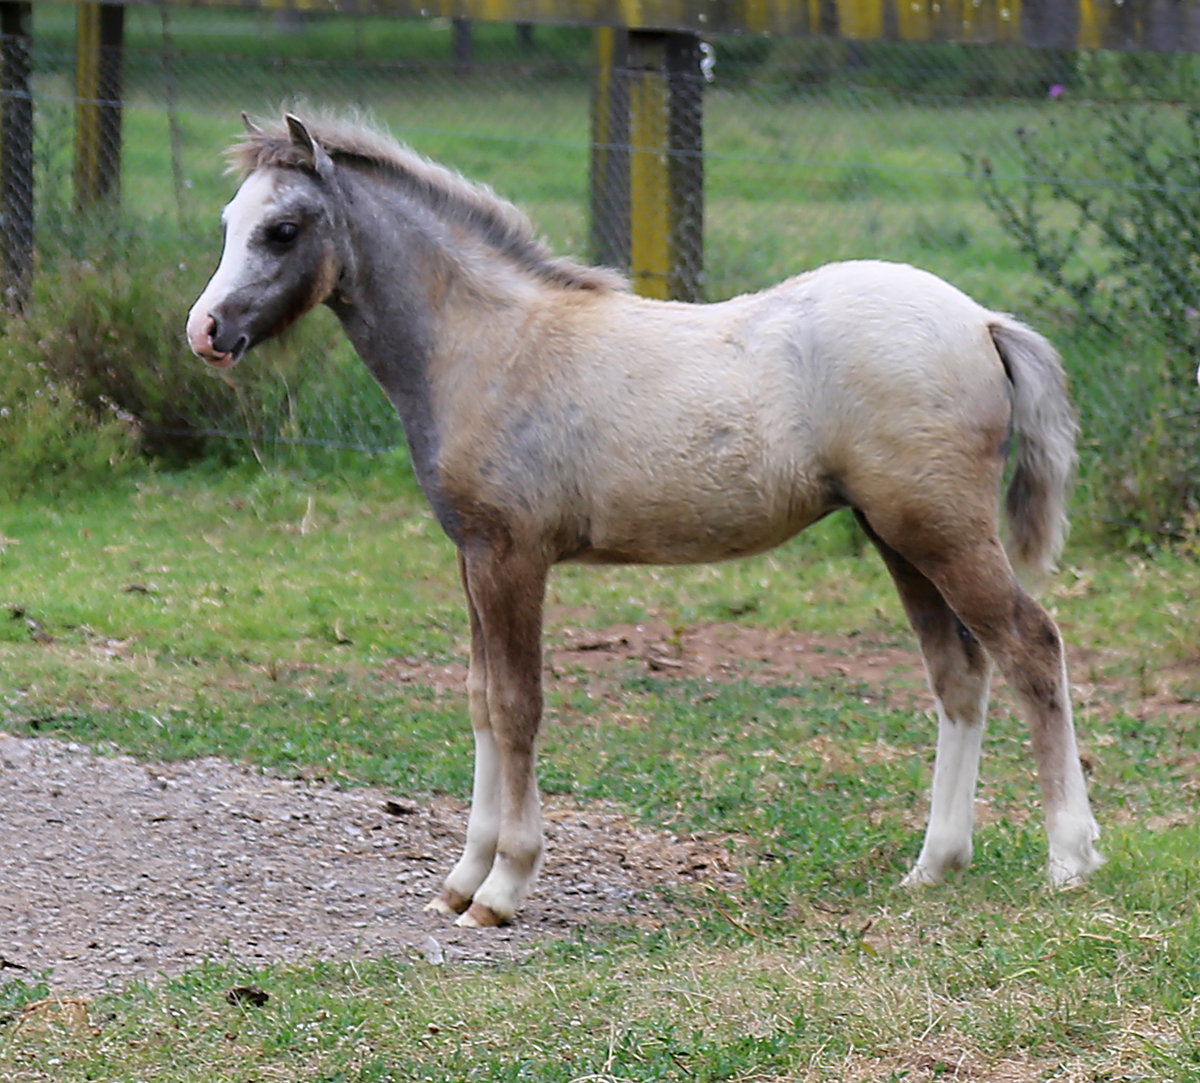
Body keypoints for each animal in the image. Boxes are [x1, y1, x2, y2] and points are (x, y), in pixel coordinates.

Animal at [187, 113, 1103, 928]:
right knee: (959, 673)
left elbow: (516, 706)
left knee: (1031, 645)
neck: (491, 345)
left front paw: (503, 887)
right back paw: (934, 865)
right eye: (228, 222)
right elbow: (481, 700)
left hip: (941, 530)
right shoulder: (472, 553)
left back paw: (1069, 859)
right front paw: (459, 879)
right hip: (900, 536)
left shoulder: (513, 555)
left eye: (283, 228)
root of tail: (982, 320)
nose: (205, 331)